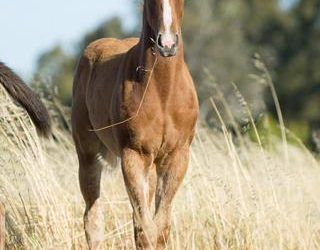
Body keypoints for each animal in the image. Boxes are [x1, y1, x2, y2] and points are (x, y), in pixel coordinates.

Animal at [72, 0, 198, 248]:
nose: (167, 44)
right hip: (88, 154)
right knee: (93, 219)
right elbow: (145, 230)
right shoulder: (134, 155)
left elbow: (160, 228)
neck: (163, 93)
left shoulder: (177, 156)